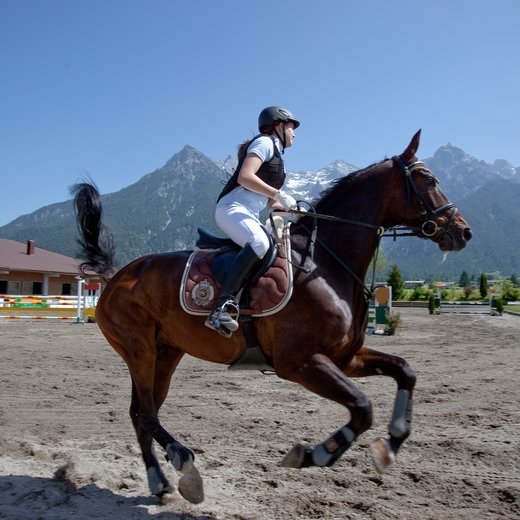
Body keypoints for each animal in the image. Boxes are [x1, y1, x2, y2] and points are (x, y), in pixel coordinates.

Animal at [71, 130, 474, 504]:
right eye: (429, 179)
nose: (463, 231)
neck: (326, 263)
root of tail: (118, 275)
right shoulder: (299, 363)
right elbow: (362, 408)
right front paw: (314, 454)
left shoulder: (346, 357)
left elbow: (405, 371)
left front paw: (391, 443)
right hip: (140, 350)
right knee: (145, 413)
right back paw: (182, 464)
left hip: (167, 353)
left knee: (142, 411)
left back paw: (161, 480)